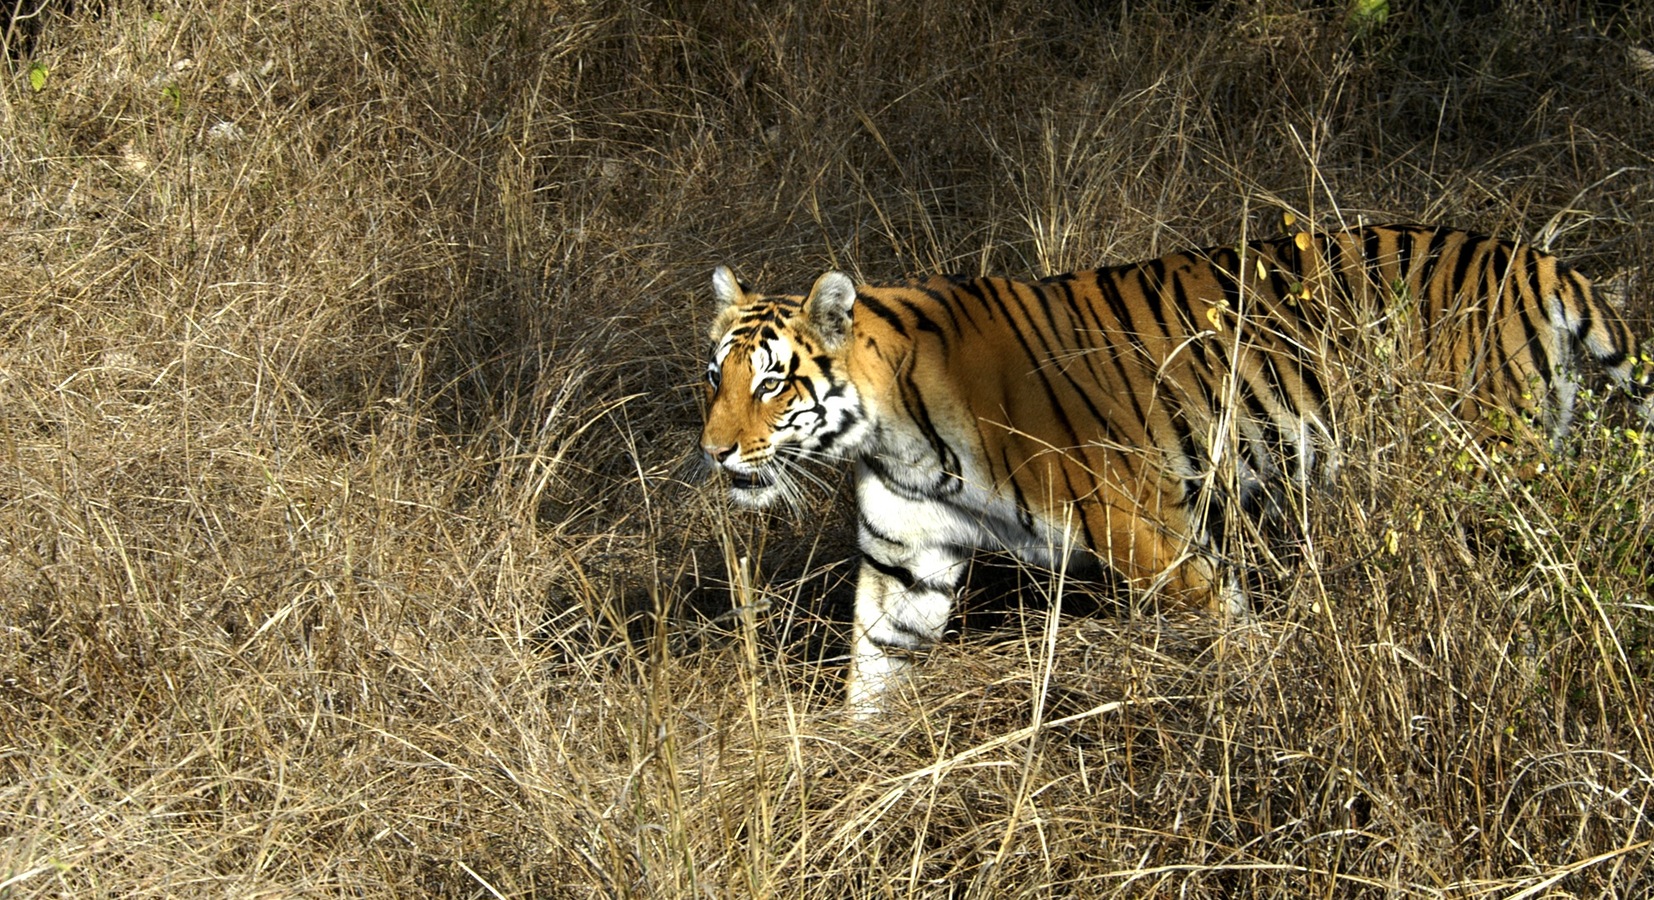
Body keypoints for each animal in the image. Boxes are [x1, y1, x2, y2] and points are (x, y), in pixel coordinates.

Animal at [701, 223, 1654, 711]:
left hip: (1490, 469)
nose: (715, 452)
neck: (890, 430)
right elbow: (873, 676)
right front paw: (844, 786)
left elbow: (1232, 634)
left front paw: (1272, 700)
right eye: (717, 377)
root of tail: (1535, 258)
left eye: (774, 382)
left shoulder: (1148, 533)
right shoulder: (906, 562)